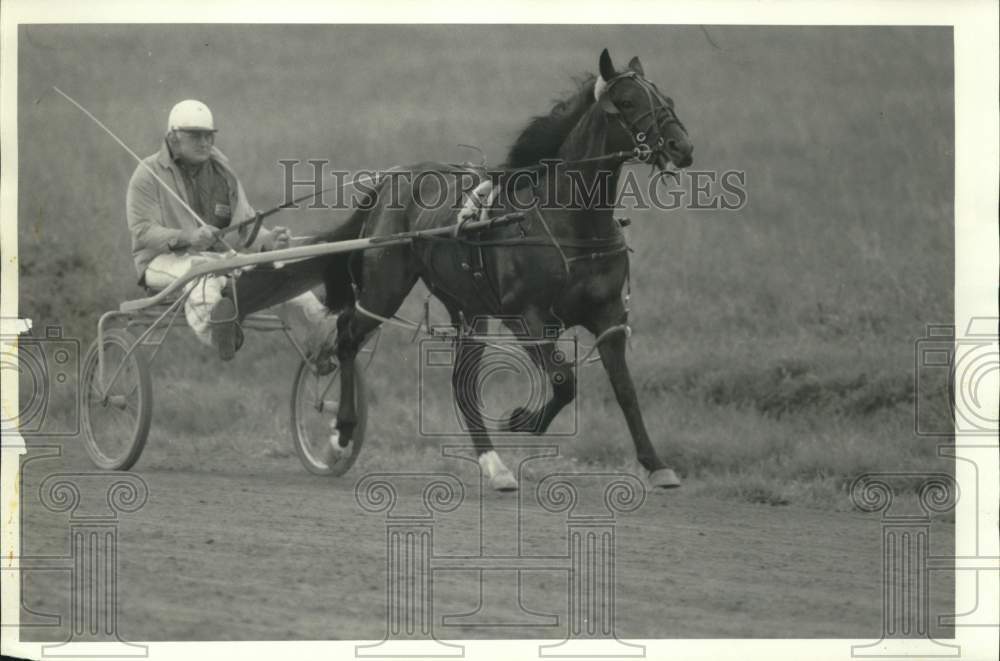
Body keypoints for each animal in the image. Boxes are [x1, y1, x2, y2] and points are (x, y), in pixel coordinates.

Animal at [308, 47, 692, 490]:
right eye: (627, 102)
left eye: (667, 98)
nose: (682, 146)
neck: (571, 221)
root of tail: (391, 181)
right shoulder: (527, 316)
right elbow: (564, 381)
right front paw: (522, 420)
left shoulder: (610, 315)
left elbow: (625, 389)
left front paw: (656, 463)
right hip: (383, 291)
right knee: (347, 336)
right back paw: (343, 432)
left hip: (467, 306)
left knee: (462, 381)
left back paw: (494, 464)